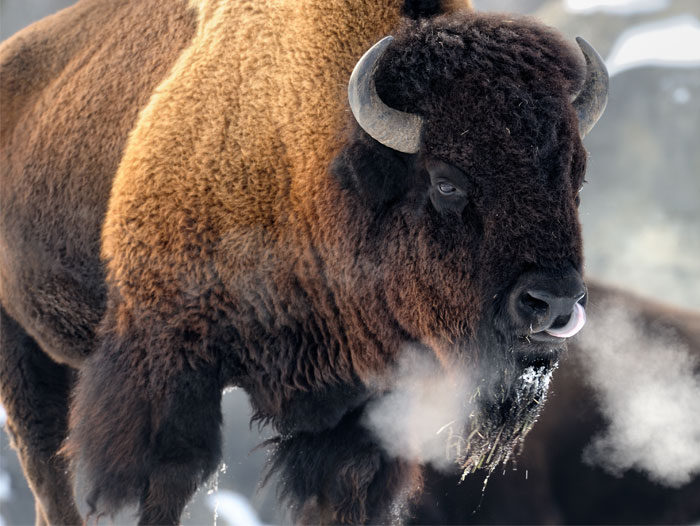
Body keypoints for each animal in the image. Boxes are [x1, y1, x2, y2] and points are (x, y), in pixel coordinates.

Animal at [0, 0, 607, 524]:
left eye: (577, 178)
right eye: (447, 182)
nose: (553, 303)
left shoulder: (359, 415)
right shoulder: (162, 363)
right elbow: (159, 482)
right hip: (22, 349)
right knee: (49, 469)